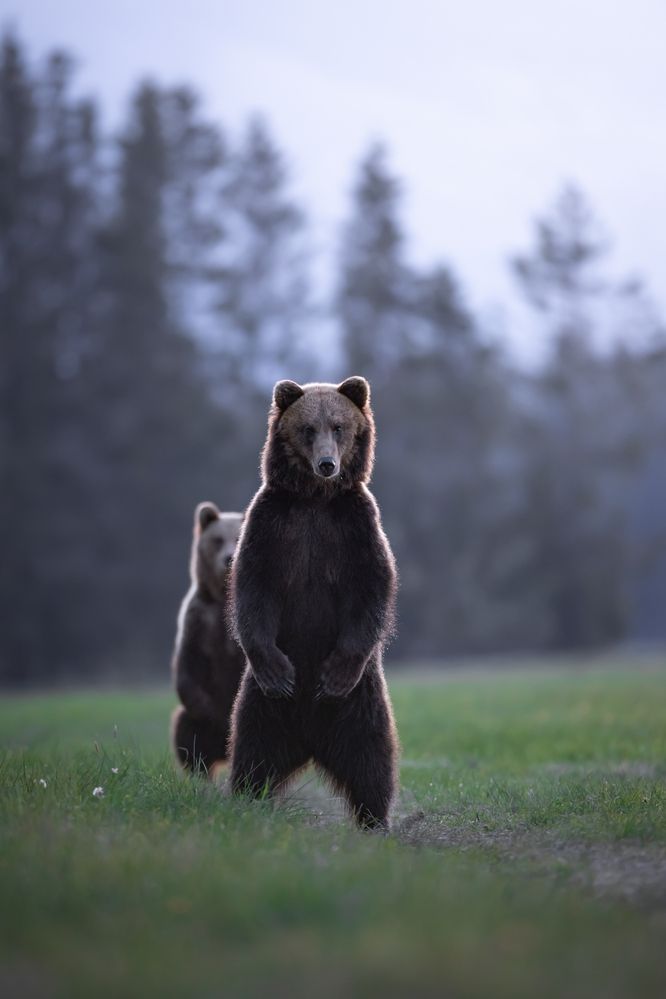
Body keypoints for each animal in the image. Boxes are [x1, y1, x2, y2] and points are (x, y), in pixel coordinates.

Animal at [171, 501, 245, 776]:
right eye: (217, 539)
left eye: (238, 537)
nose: (228, 558)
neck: (223, 597)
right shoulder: (199, 619)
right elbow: (188, 664)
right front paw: (212, 713)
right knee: (186, 731)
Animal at [228, 376, 399, 830]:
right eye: (308, 428)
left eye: (339, 427)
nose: (327, 464)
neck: (314, 500)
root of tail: (309, 741)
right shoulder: (271, 524)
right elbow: (252, 589)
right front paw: (279, 672)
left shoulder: (355, 526)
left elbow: (373, 587)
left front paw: (335, 675)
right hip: (261, 707)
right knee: (251, 754)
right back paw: (244, 798)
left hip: (362, 703)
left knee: (372, 759)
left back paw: (375, 818)